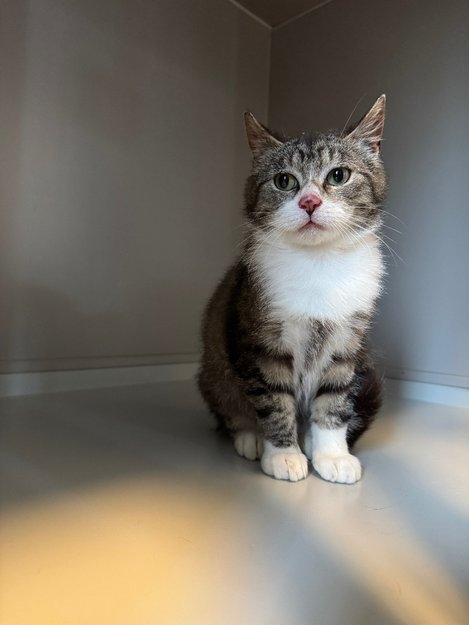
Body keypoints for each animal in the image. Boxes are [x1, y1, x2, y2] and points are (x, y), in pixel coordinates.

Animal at [198, 95, 386, 483]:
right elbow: (273, 399)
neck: (319, 264)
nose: (309, 202)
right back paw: (249, 436)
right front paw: (283, 454)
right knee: (229, 405)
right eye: (284, 181)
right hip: (214, 371)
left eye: (338, 175)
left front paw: (332, 454)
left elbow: (335, 399)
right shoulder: (262, 343)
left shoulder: (348, 344)